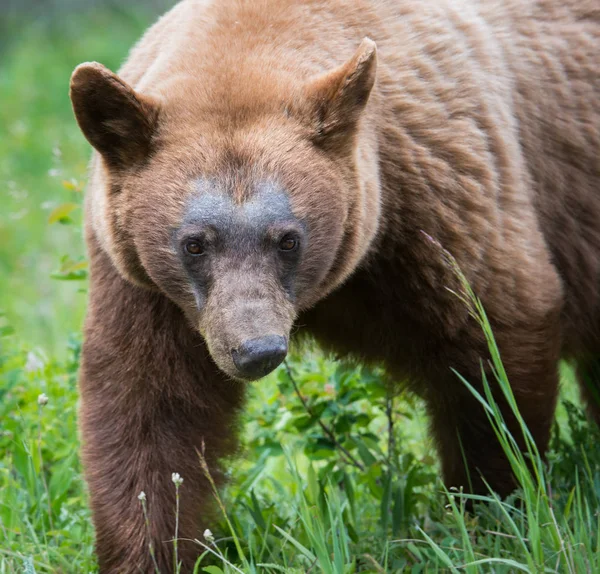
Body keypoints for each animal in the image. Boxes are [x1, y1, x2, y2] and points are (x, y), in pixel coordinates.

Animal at [69, 0, 600, 572]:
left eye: (288, 238)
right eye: (194, 243)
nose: (256, 350)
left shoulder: (442, 193)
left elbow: (493, 351)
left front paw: (495, 515)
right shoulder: (141, 282)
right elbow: (148, 407)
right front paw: (148, 549)